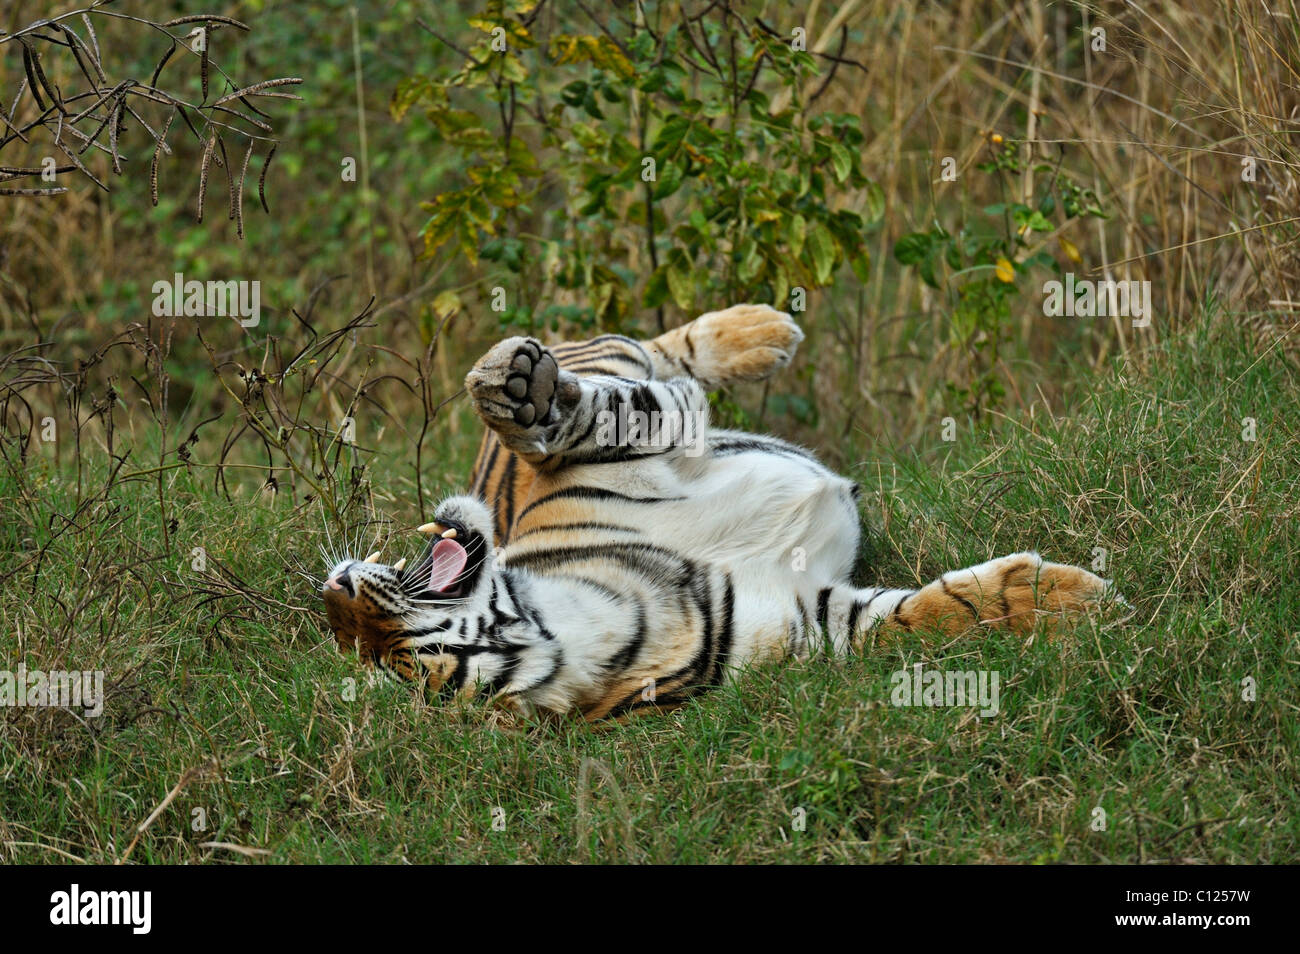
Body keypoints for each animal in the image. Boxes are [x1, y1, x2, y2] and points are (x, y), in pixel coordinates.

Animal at [319, 302, 1112, 722]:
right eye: (393, 661)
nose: (335, 589)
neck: (588, 620)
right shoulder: (813, 617)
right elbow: (921, 618)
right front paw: (1076, 598)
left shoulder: (609, 448)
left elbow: (594, 417)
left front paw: (1063, 598)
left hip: (608, 358)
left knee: (648, 352)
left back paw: (758, 331)